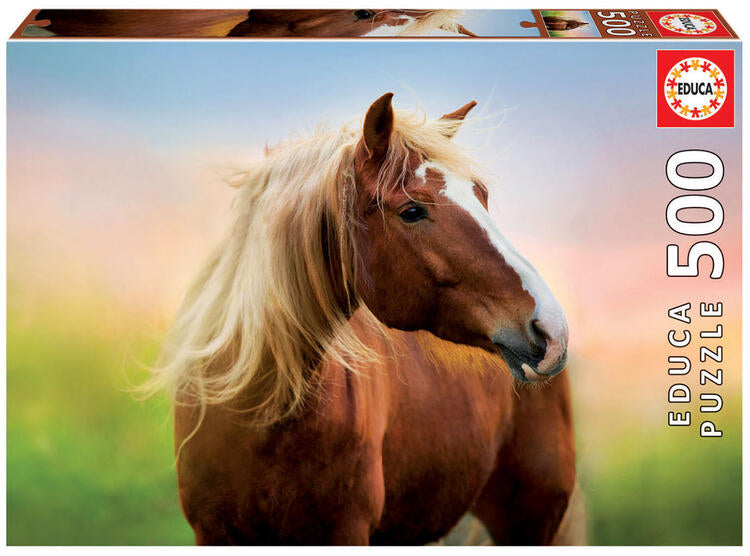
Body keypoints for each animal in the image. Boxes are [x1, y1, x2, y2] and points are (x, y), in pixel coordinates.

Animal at [151, 93, 579, 545]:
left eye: (480, 195)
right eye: (411, 211)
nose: (551, 328)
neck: (260, 414)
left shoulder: (346, 529)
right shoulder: (212, 530)